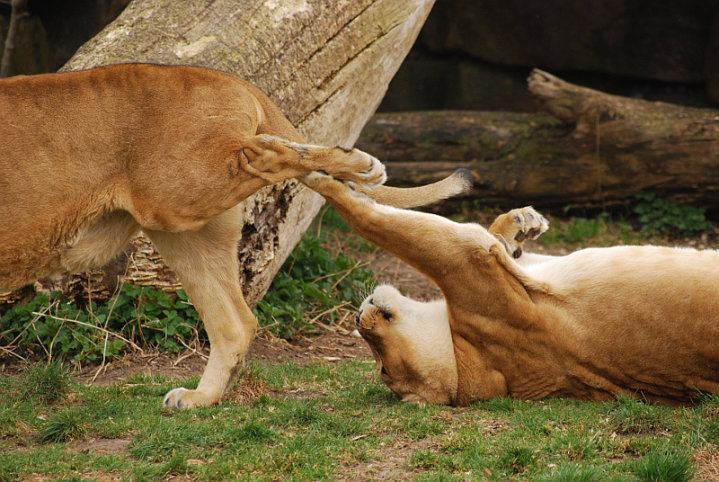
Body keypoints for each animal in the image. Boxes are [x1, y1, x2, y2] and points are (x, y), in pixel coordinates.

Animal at [0, 63, 472, 408]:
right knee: (235, 320)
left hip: (176, 189)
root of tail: (218, 75)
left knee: (264, 151)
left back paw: (359, 166)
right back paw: (199, 398)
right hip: (184, 228)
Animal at [303, 170, 719, 405]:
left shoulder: (483, 258)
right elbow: (367, 217)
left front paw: (520, 224)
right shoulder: (466, 258)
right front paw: (316, 171)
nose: (360, 318)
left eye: (382, 367)